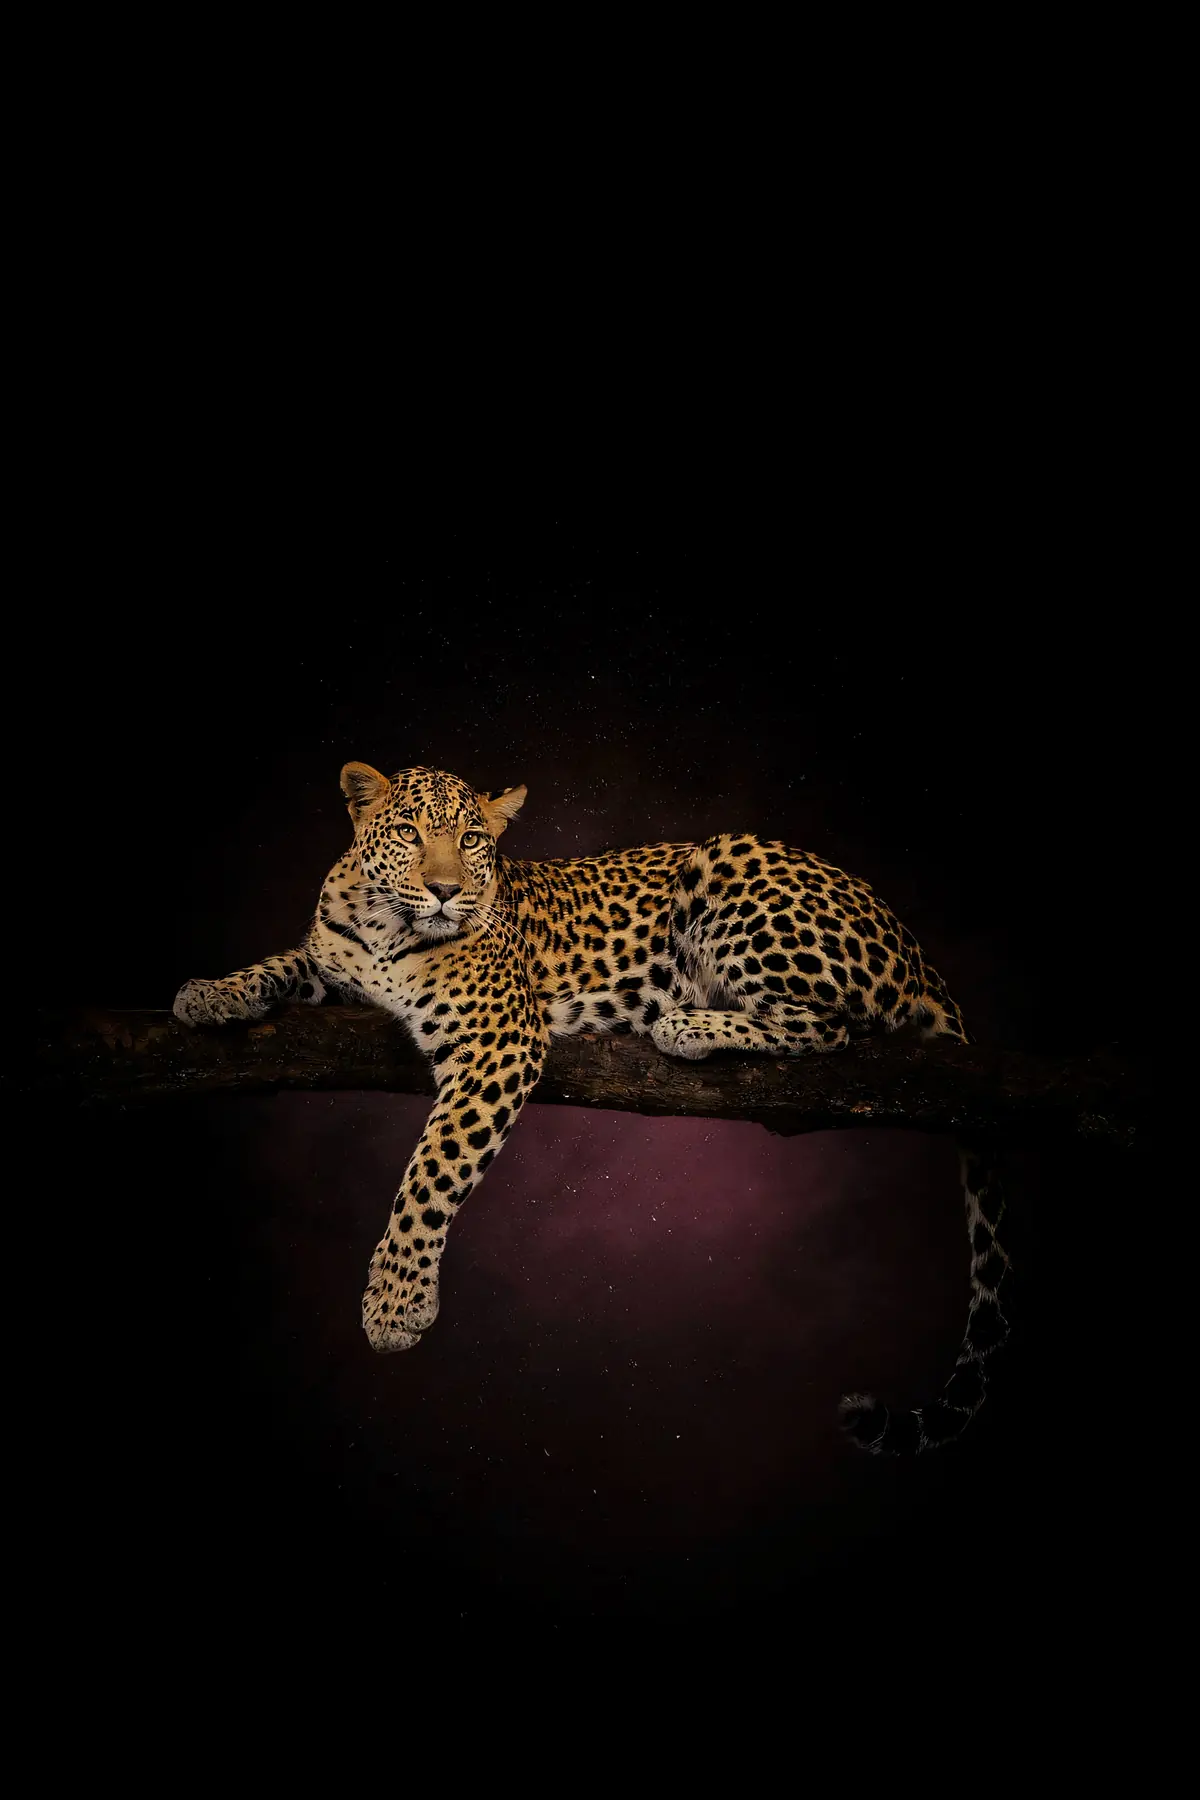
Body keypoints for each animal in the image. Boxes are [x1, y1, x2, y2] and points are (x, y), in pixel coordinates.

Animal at [173, 761, 1010, 1455]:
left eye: (471, 841)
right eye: (409, 832)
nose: (446, 891)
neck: (386, 929)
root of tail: (907, 938)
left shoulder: (500, 1038)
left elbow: (431, 1173)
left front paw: (395, 1302)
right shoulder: (332, 965)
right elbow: (282, 963)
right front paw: (209, 994)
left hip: (729, 867)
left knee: (839, 1026)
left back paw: (687, 1023)